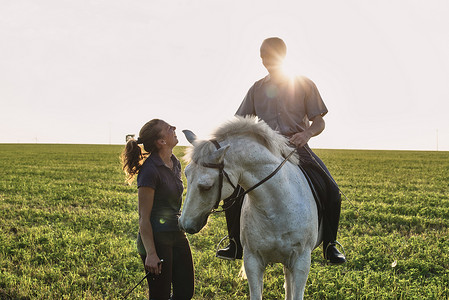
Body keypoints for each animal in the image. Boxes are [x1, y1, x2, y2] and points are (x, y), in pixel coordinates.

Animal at [178, 116, 322, 298]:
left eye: (206, 187)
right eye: (186, 174)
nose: (184, 224)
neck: (276, 208)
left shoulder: (302, 261)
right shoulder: (252, 260)